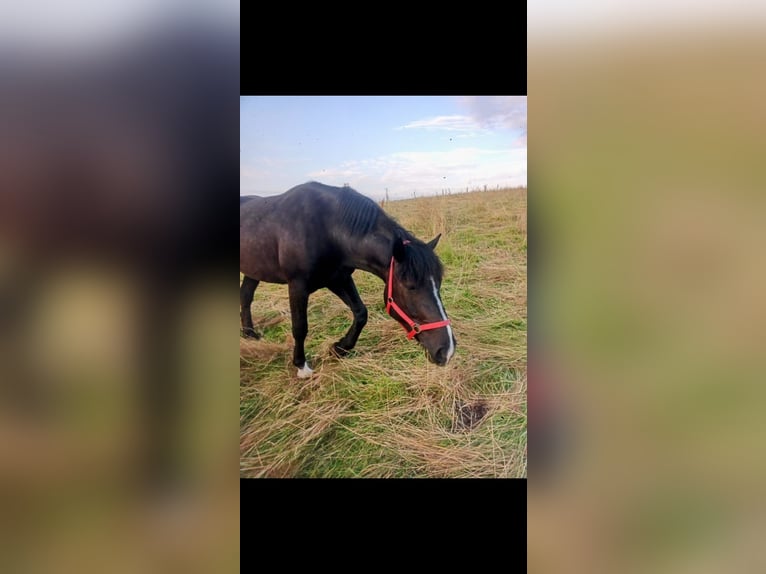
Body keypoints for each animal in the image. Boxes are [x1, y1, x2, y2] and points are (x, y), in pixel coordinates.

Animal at [240, 180, 456, 378]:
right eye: (410, 286)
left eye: (438, 283)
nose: (447, 351)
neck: (327, 229)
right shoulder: (297, 285)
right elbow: (300, 327)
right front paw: (302, 366)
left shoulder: (338, 278)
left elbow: (361, 313)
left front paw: (339, 349)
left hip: (254, 271)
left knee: (246, 296)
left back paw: (249, 334)